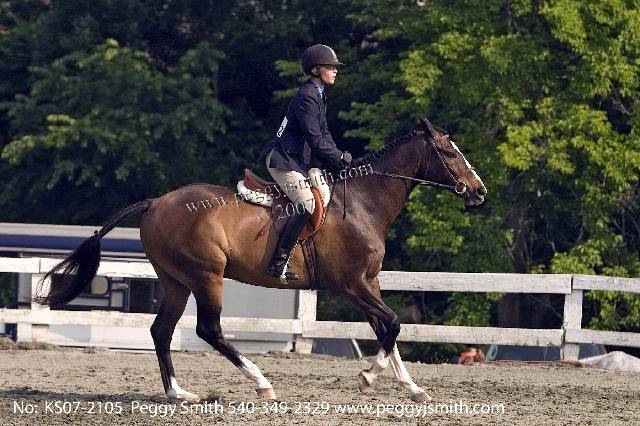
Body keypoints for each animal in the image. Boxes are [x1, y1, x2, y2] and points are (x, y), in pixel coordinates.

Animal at [36, 118, 486, 403]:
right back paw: (261, 383)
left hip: (175, 281)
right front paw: (367, 377)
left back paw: (178, 393)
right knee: (209, 329)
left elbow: (387, 328)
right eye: (449, 153)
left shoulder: (369, 282)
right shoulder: (350, 284)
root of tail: (156, 202)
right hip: (206, 277)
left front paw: (410, 387)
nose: (479, 191)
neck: (362, 202)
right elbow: (391, 324)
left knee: (161, 331)